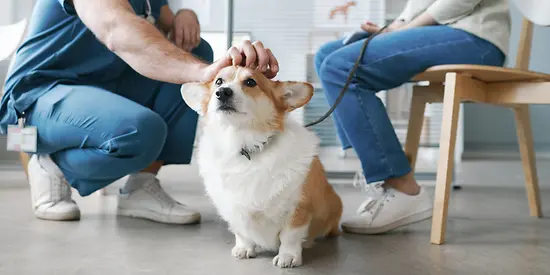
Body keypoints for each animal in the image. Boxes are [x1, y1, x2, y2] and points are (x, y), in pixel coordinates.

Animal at [183, 66, 342, 268]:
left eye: (251, 82)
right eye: (218, 82)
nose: (223, 92)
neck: (243, 145)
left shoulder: (298, 208)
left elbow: (290, 236)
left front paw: (287, 257)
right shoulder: (233, 209)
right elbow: (241, 232)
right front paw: (244, 248)